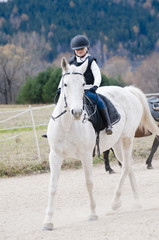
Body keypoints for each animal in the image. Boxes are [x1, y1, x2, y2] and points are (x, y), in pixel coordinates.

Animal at [42, 56, 159, 231]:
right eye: (65, 84)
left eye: (83, 84)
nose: (77, 112)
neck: (68, 124)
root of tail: (128, 91)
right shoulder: (55, 156)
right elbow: (52, 186)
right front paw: (48, 221)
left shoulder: (86, 156)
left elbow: (89, 183)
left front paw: (93, 214)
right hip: (117, 144)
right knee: (129, 166)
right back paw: (137, 202)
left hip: (126, 139)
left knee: (126, 166)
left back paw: (115, 203)